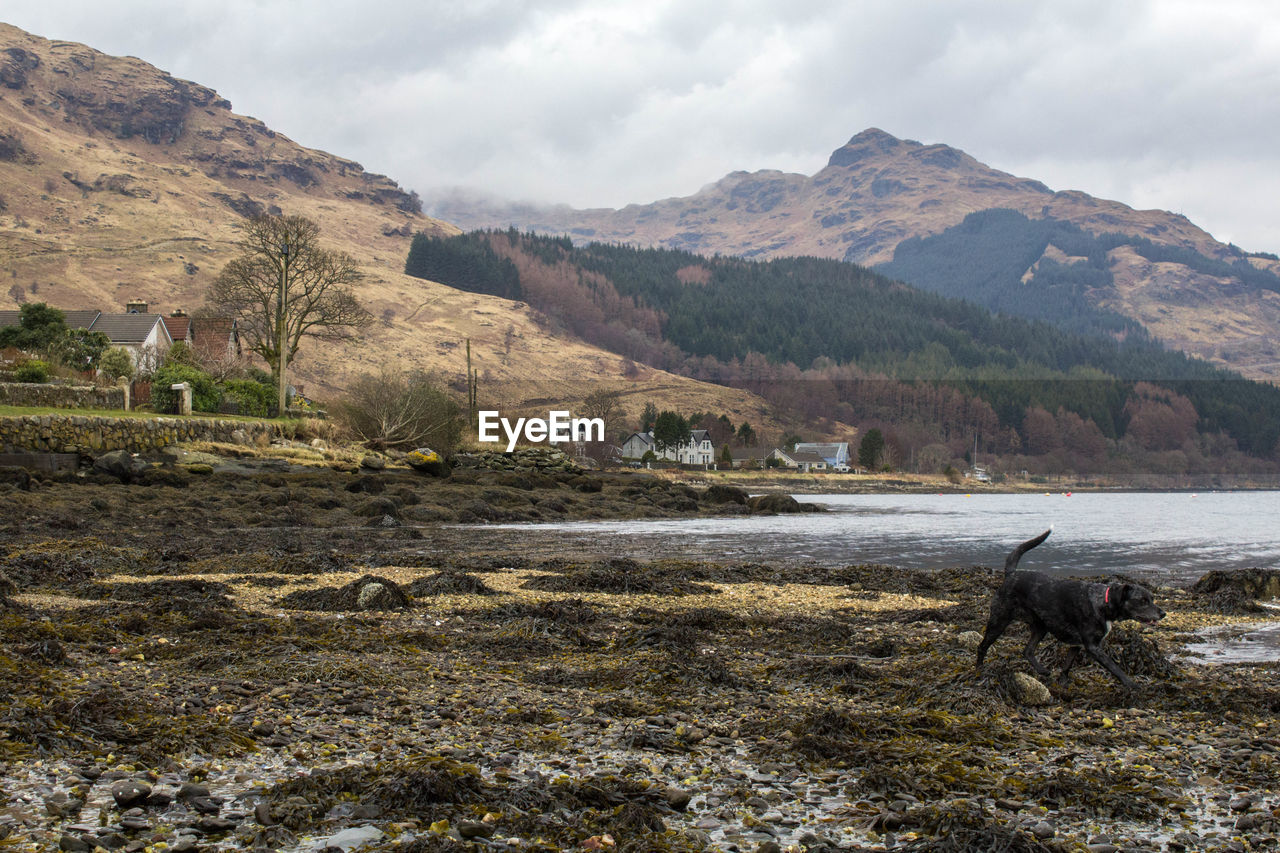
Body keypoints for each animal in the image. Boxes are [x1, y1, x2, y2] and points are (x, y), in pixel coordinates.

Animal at [972, 527, 1167, 686]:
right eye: (1142, 600)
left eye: (1152, 598)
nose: (1163, 613)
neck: (1103, 602)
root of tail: (1011, 574)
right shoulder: (1093, 647)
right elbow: (1115, 668)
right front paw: (1133, 685)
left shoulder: (1077, 645)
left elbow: (1067, 664)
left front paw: (1063, 682)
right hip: (999, 621)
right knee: (982, 646)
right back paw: (979, 670)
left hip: (1041, 627)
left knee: (1027, 651)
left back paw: (1042, 670)